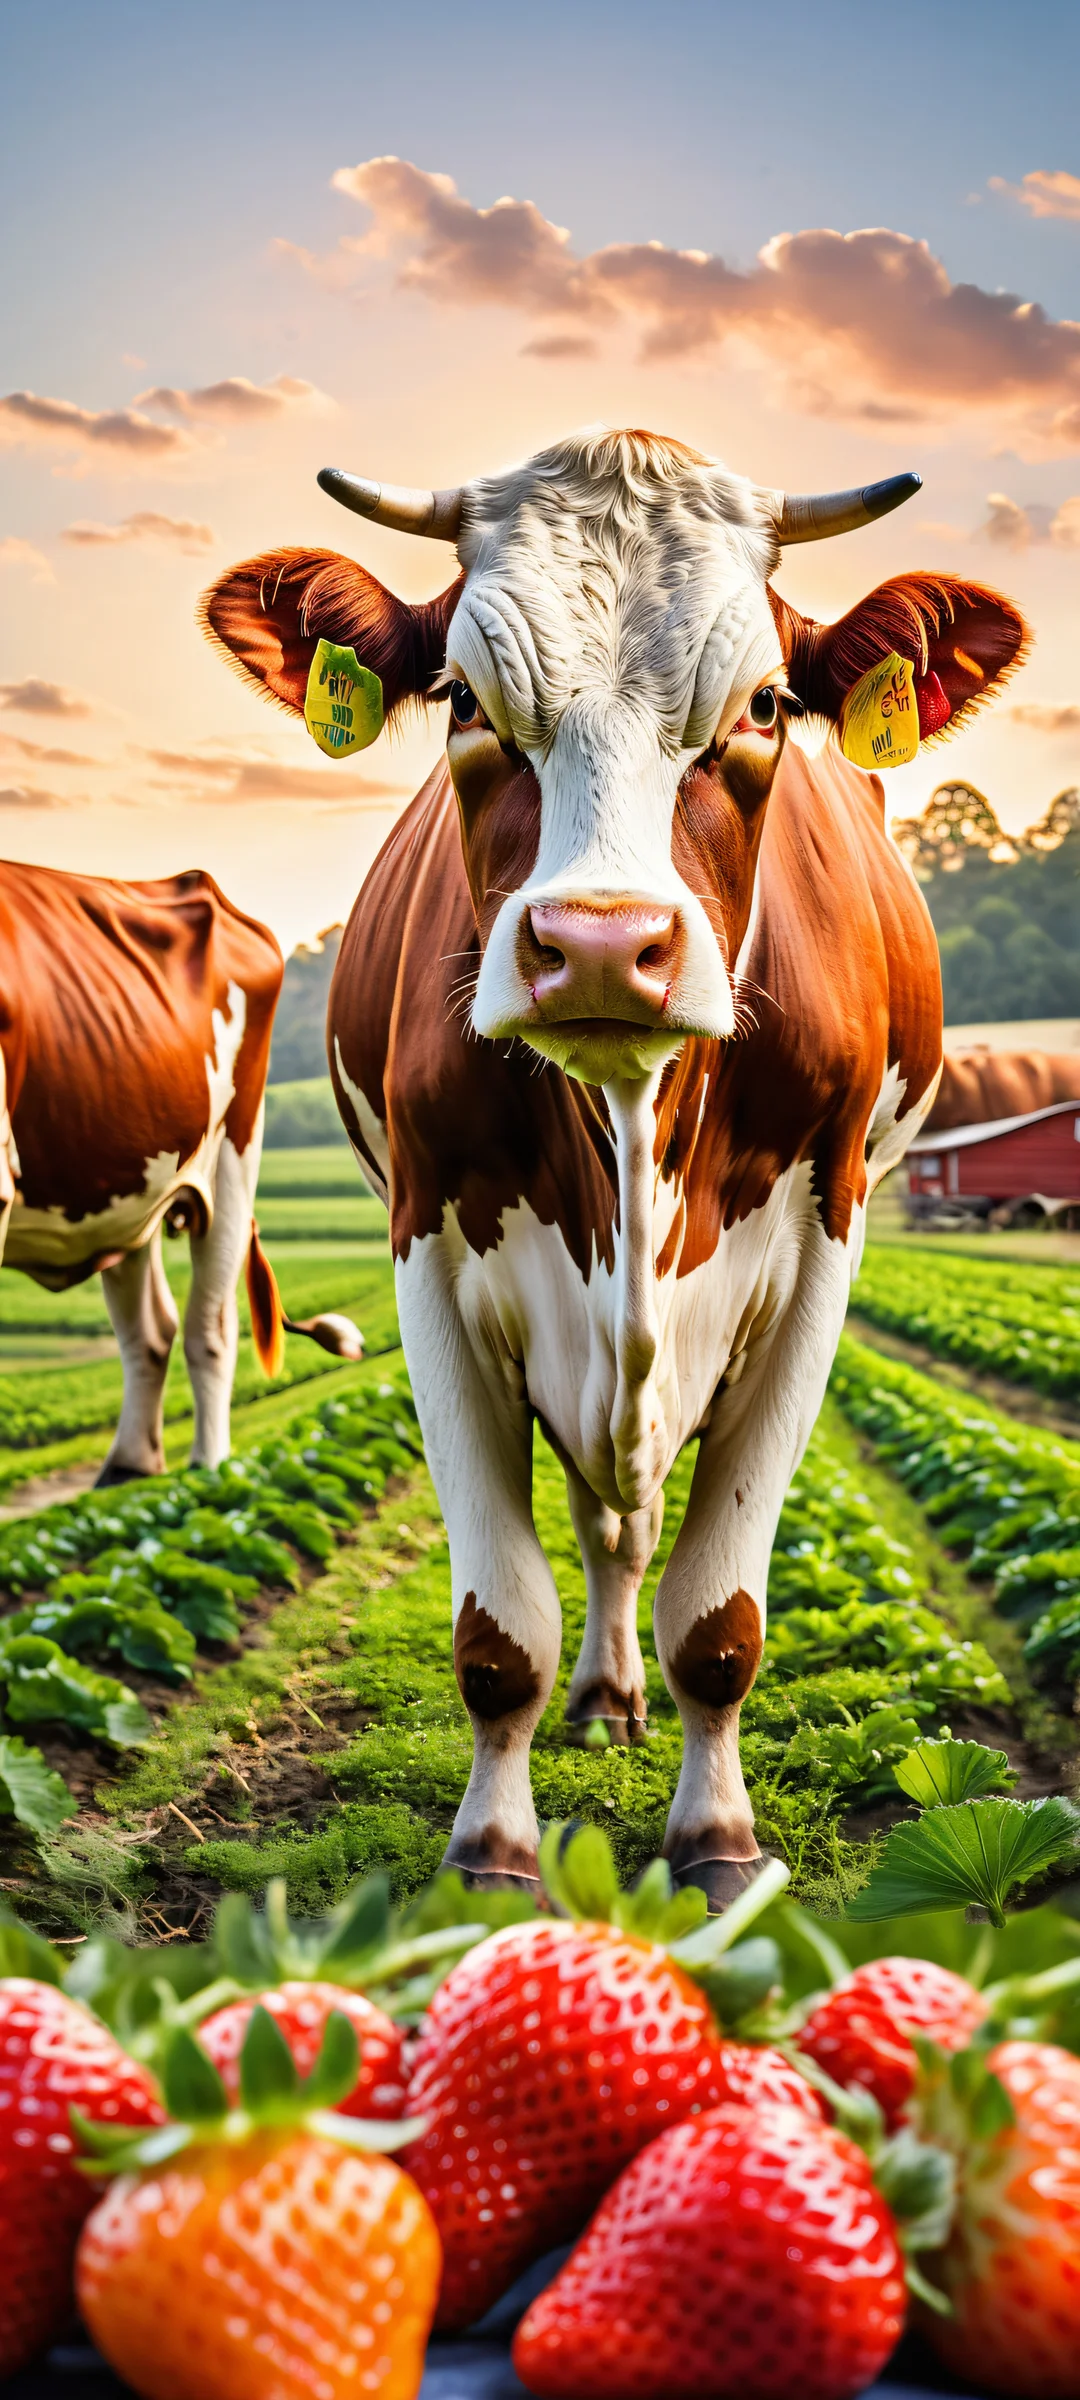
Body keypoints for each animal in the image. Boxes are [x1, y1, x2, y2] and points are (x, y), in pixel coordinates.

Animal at [0, 862, 360, 1487]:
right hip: (123, 1184)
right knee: (150, 1331)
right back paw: (128, 1465)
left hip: (233, 1154)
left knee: (208, 1327)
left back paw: (209, 1473)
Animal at [203, 428, 1027, 1907]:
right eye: (463, 699)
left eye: (763, 704)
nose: (599, 944)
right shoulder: (429, 1251)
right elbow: (502, 1629)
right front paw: (492, 1850)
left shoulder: (820, 1255)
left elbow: (718, 1611)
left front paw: (718, 1840)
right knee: (600, 1526)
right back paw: (600, 1698)